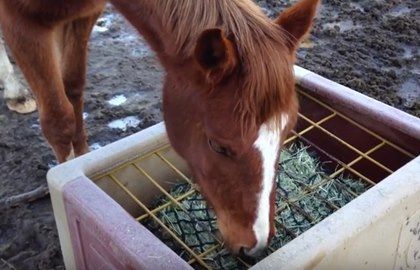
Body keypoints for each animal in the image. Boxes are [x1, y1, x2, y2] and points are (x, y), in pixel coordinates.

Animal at [0, 0, 320, 255]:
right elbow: (59, 120)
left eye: (286, 133)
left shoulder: (85, 15)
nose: (256, 245)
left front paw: (83, 155)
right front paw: (68, 165)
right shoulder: (23, 23)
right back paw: (17, 94)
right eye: (217, 145)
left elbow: (74, 87)